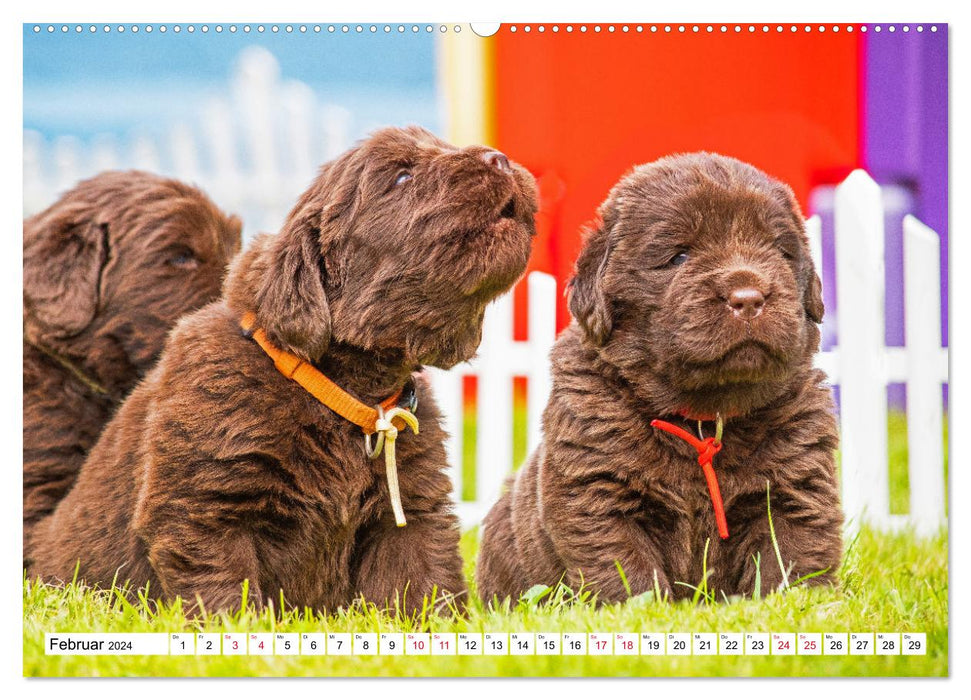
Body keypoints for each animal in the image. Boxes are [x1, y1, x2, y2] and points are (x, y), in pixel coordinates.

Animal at [478, 154, 844, 608]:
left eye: (779, 251)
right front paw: (640, 611)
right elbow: (626, 571)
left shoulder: (795, 485)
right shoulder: (599, 494)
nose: (749, 297)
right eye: (679, 256)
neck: (703, 418)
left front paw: (801, 606)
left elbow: (792, 557)